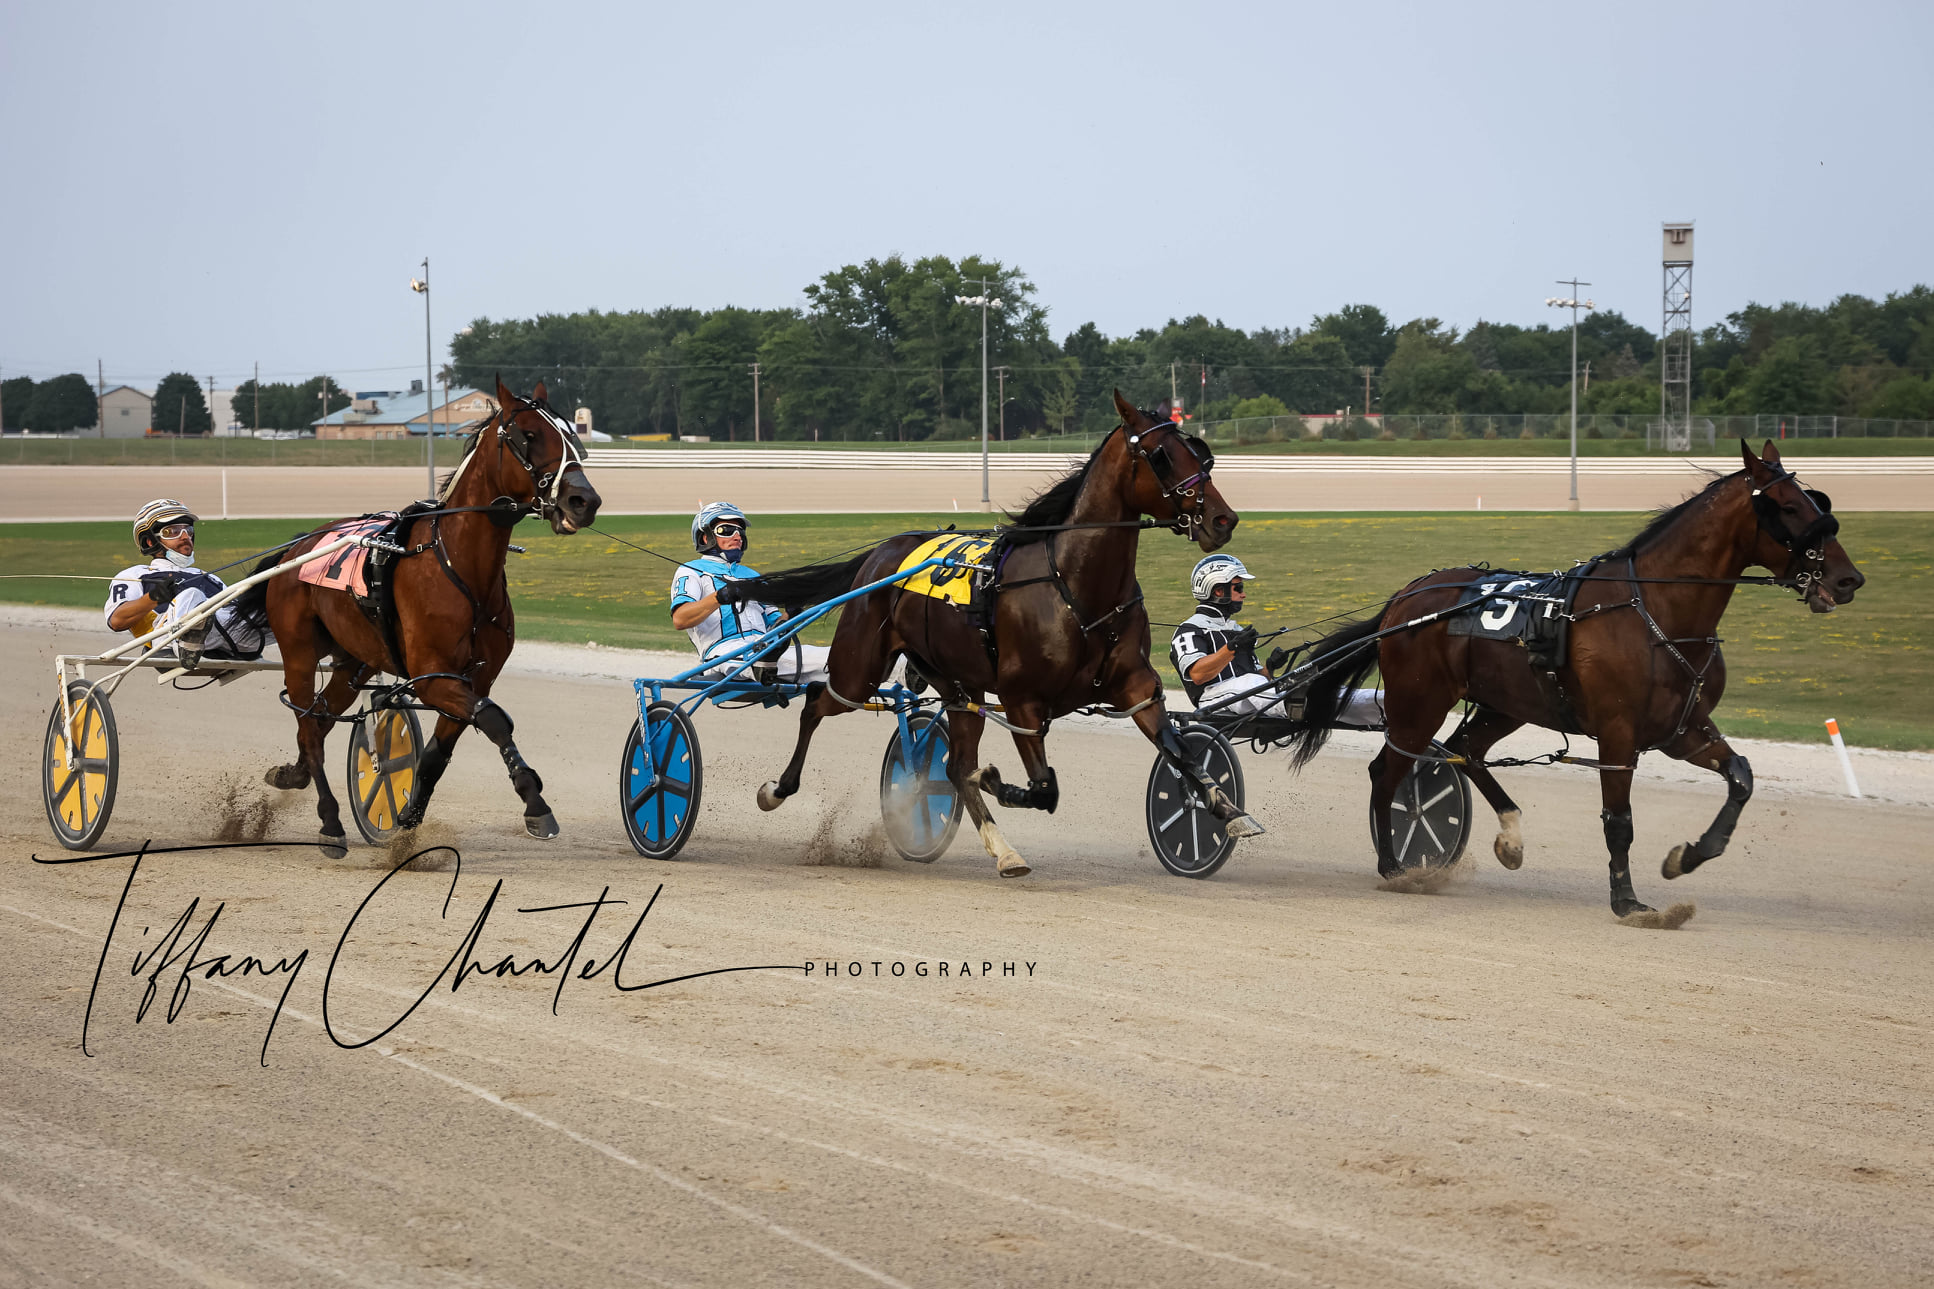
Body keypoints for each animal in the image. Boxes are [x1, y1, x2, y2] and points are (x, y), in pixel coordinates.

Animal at [234, 379, 601, 856]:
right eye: (528, 435)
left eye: (572, 435)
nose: (584, 501)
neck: (458, 566)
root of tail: (297, 547)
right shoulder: (432, 676)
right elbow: (495, 719)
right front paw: (535, 802)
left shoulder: (475, 678)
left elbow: (436, 755)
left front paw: (406, 821)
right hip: (298, 653)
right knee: (310, 730)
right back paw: (330, 823)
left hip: (354, 661)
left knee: (318, 718)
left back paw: (292, 774)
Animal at [734, 392, 1261, 878]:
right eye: (1162, 455)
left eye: (1202, 453)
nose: (1222, 519)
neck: (1074, 585)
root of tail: (883, 552)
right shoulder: (1023, 700)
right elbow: (1043, 788)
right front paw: (995, 778)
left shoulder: (1135, 686)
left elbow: (1182, 751)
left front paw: (1227, 810)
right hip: (858, 669)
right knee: (816, 701)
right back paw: (776, 789)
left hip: (957, 685)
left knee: (950, 764)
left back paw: (1004, 851)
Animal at [1285, 440, 1864, 918]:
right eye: (1787, 506)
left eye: (1819, 502)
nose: (1848, 579)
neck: (1656, 610)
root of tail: (1404, 599)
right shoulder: (1618, 733)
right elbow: (1619, 819)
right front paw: (1627, 900)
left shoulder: (1683, 729)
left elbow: (1740, 776)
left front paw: (1689, 856)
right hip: (1417, 702)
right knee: (1389, 772)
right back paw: (1394, 867)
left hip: (1505, 703)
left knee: (1464, 750)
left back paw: (1510, 837)